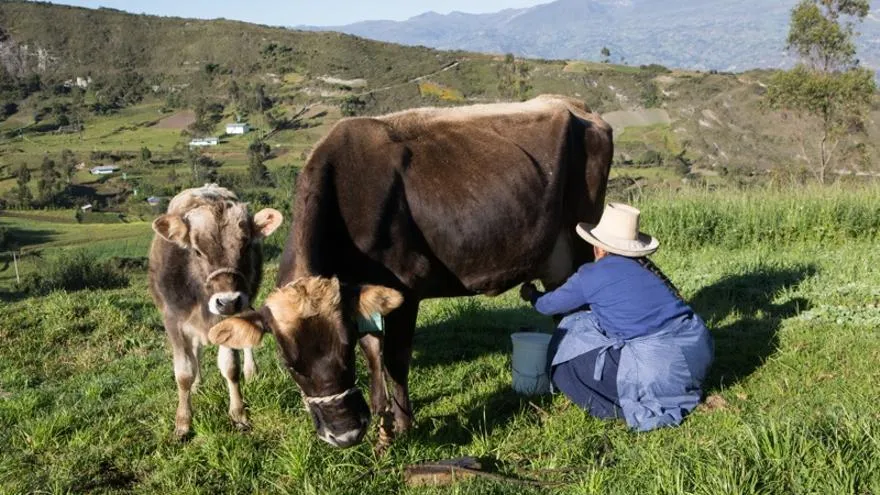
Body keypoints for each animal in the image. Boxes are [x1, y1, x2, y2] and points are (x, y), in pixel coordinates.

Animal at [149, 185, 282, 438]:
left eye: (246, 246)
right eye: (197, 251)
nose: (227, 302)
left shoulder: (229, 317)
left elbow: (231, 368)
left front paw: (238, 415)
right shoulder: (174, 322)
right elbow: (184, 373)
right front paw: (183, 423)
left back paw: (252, 371)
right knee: (196, 353)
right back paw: (198, 384)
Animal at [209, 95, 608, 448]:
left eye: (343, 349)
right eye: (289, 364)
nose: (344, 435)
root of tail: (576, 106)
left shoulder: (407, 288)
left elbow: (394, 359)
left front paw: (402, 425)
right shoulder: (361, 295)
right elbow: (374, 351)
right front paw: (380, 418)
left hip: (582, 243)